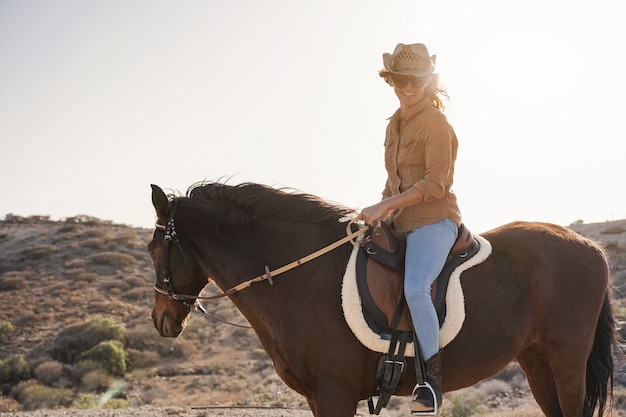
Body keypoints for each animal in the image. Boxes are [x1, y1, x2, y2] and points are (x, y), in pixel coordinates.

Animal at [149, 181, 616, 416]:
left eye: (154, 250)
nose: (161, 319)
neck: (299, 274)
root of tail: (591, 247)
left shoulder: (334, 394)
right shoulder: (320, 397)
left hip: (566, 360)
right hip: (536, 360)